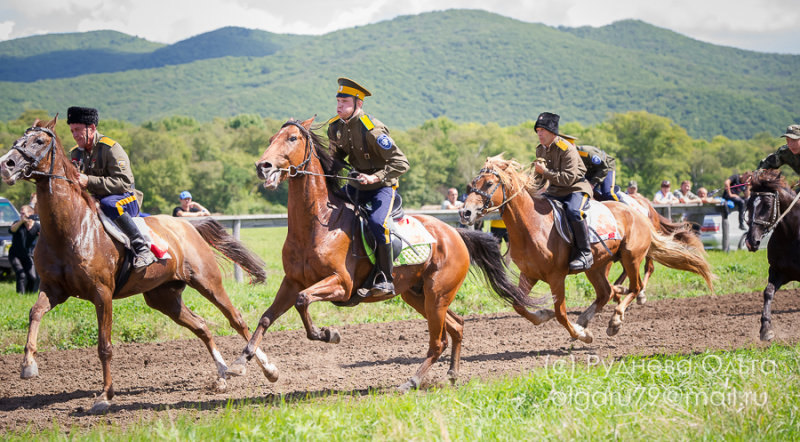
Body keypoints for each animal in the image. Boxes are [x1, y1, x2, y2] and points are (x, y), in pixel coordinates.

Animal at [0, 115, 276, 412]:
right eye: (19, 138)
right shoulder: (53, 290)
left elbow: (104, 346)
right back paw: (222, 376)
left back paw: (266, 369)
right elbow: (35, 313)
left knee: (237, 320)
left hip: (207, 282)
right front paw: (28, 365)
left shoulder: (102, 294)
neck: (70, 228)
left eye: (39, 141)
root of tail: (186, 225)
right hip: (163, 297)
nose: (6, 164)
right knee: (201, 326)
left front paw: (105, 396)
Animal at [223, 117, 532, 390]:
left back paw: (411, 382)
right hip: (417, 295)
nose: (263, 167)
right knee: (457, 326)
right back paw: (452, 375)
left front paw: (328, 334)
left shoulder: (341, 285)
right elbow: (267, 317)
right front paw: (241, 362)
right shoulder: (292, 282)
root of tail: (454, 233)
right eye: (270, 139)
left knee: (439, 341)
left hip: (437, 295)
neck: (317, 224)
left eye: (292, 138)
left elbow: (303, 302)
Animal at [460, 155, 716, 342]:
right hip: (596, 266)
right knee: (605, 292)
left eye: (490, 184)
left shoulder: (556, 277)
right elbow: (519, 306)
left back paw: (614, 321)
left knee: (635, 286)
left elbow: (561, 313)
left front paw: (581, 335)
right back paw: (585, 319)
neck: (532, 224)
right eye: (471, 185)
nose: (465, 213)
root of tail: (638, 213)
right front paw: (545, 315)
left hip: (631, 257)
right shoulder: (529, 274)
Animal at [744, 169, 800, 342]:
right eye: (748, 204)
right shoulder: (778, 271)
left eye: (768, 205)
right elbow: (768, 292)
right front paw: (766, 329)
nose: (751, 241)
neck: (792, 235)